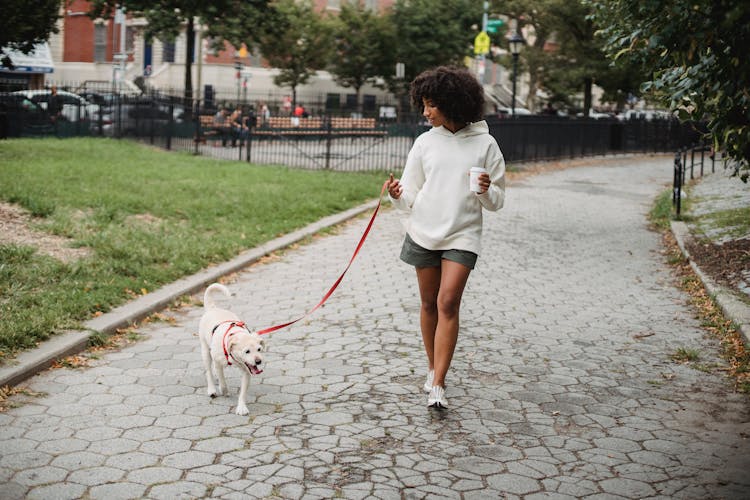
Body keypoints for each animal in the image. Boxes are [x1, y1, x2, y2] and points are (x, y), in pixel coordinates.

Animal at [200, 284, 268, 416]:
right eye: (247, 351)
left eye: (259, 349)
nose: (258, 361)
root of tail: (212, 308)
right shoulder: (217, 362)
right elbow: (222, 379)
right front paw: (224, 390)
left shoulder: (247, 371)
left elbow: (243, 392)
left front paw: (241, 407)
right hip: (205, 351)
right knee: (209, 371)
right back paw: (212, 389)